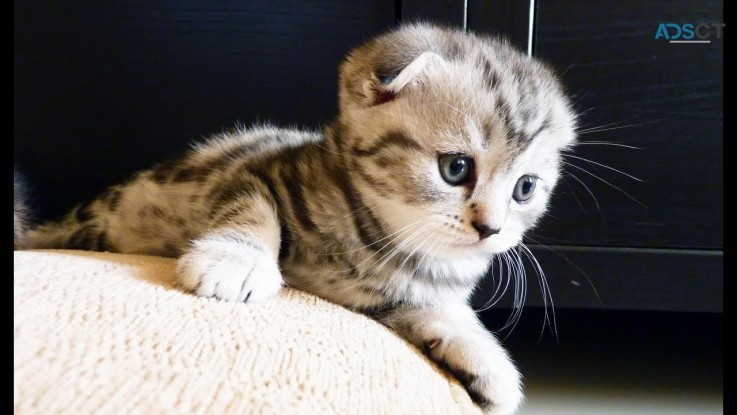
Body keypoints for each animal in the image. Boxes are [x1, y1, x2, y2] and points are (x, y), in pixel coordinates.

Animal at [12, 23, 576, 415]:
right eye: (456, 167)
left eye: (525, 189)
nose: (491, 228)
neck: (384, 242)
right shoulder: (253, 166)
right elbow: (252, 208)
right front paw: (235, 262)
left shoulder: (382, 294)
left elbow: (431, 307)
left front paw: (482, 356)